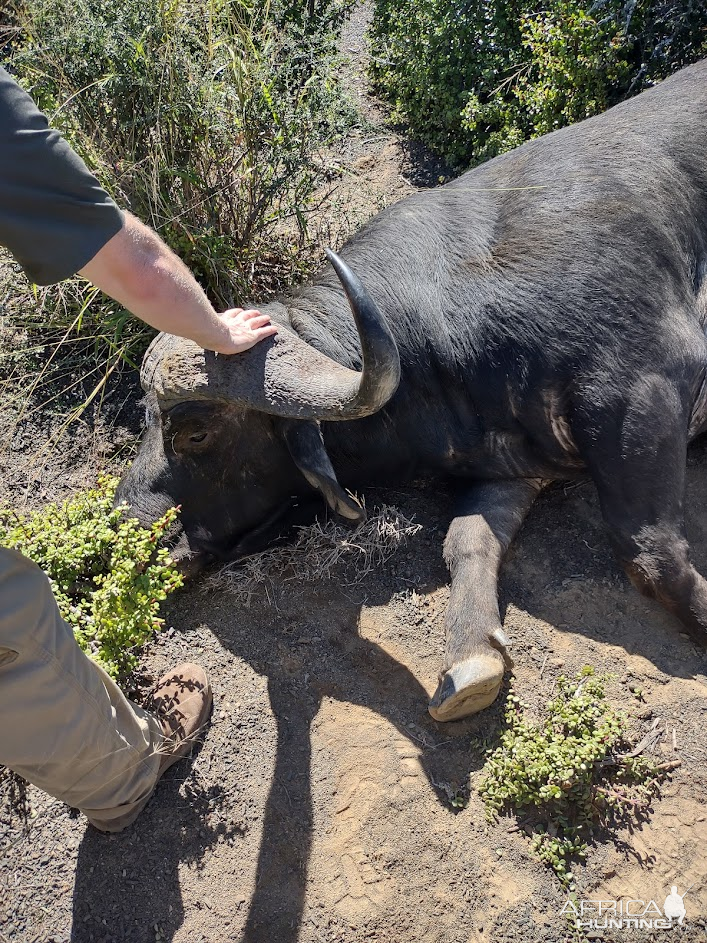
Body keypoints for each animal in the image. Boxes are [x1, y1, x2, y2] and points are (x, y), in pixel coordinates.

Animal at [119, 59, 707, 724]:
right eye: (145, 418)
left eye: (195, 433)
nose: (129, 527)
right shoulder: (518, 462)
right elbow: (465, 541)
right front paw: (473, 658)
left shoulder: (644, 388)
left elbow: (651, 553)